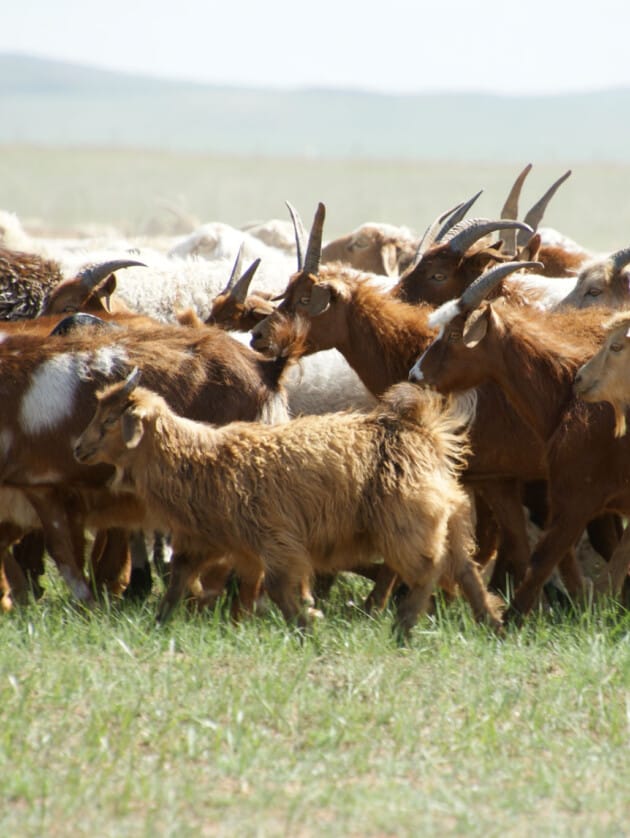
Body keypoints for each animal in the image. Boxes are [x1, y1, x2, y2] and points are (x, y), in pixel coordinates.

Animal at [73, 370, 504, 640]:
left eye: (110, 420)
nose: (77, 448)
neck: (199, 461)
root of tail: (422, 430)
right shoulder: (211, 543)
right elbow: (179, 585)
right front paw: (160, 627)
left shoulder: (276, 539)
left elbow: (279, 588)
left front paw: (307, 628)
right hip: (446, 519)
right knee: (464, 569)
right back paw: (490, 623)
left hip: (406, 522)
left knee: (428, 570)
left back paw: (403, 628)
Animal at [414, 266, 630, 620]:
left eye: (453, 336)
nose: (415, 375)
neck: (566, 400)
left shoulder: (576, 499)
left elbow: (542, 559)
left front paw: (512, 621)